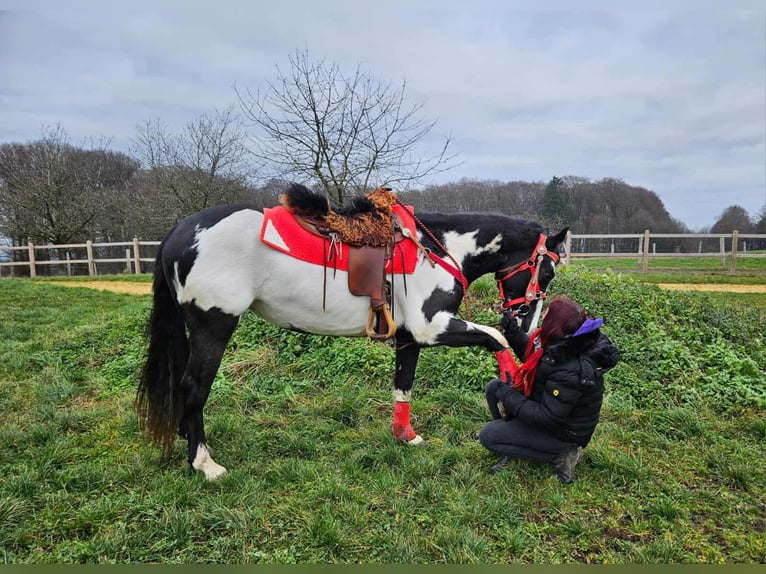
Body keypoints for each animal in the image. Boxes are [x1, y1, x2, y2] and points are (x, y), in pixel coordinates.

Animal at [136, 183, 568, 480]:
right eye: (546, 273)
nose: (525, 333)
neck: (439, 247)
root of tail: (181, 230)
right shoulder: (432, 327)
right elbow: (493, 339)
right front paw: (513, 375)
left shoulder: (409, 337)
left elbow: (403, 385)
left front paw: (405, 436)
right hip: (214, 325)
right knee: (194, 387)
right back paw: (204, 462)